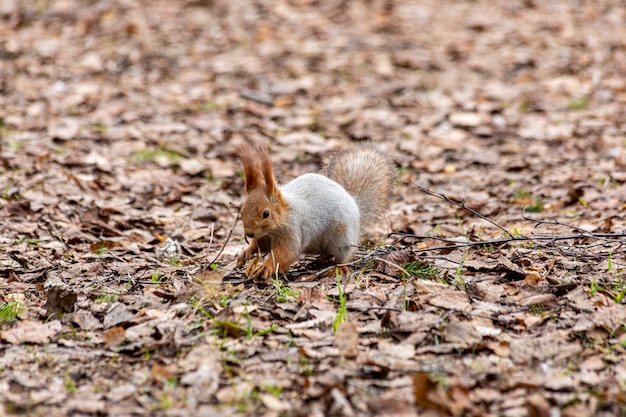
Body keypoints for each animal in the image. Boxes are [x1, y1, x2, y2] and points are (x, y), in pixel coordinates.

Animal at [236, 143, 392, 280]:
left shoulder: (292, 229)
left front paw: (266, 268)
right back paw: (319, 260)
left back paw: (339, 267)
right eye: (242, 210)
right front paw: (245, 253)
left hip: (342, 236)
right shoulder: (264, 237)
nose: (249, 233)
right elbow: (261, 247)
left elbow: (286, 253)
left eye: (266, 213)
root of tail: (354, 204)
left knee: (345, 255)